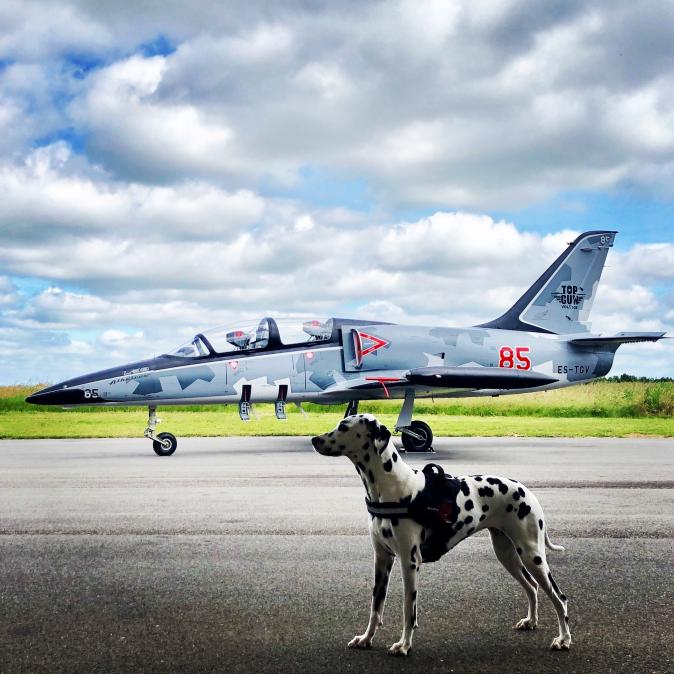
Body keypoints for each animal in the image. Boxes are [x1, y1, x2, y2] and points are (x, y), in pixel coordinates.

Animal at [308, 412, 568, 652]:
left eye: (344, 426)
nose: (314, 439)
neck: (391, 486)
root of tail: (527, 491)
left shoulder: (409, 562)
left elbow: (408, 609)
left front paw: (404, 645)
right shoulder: (382, 560)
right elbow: (375, 607)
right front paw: (366, 638)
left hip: (532, 555)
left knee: (560, 598)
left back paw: (563, 639)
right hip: (508, 555)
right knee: (532, 587)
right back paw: (531, 621)